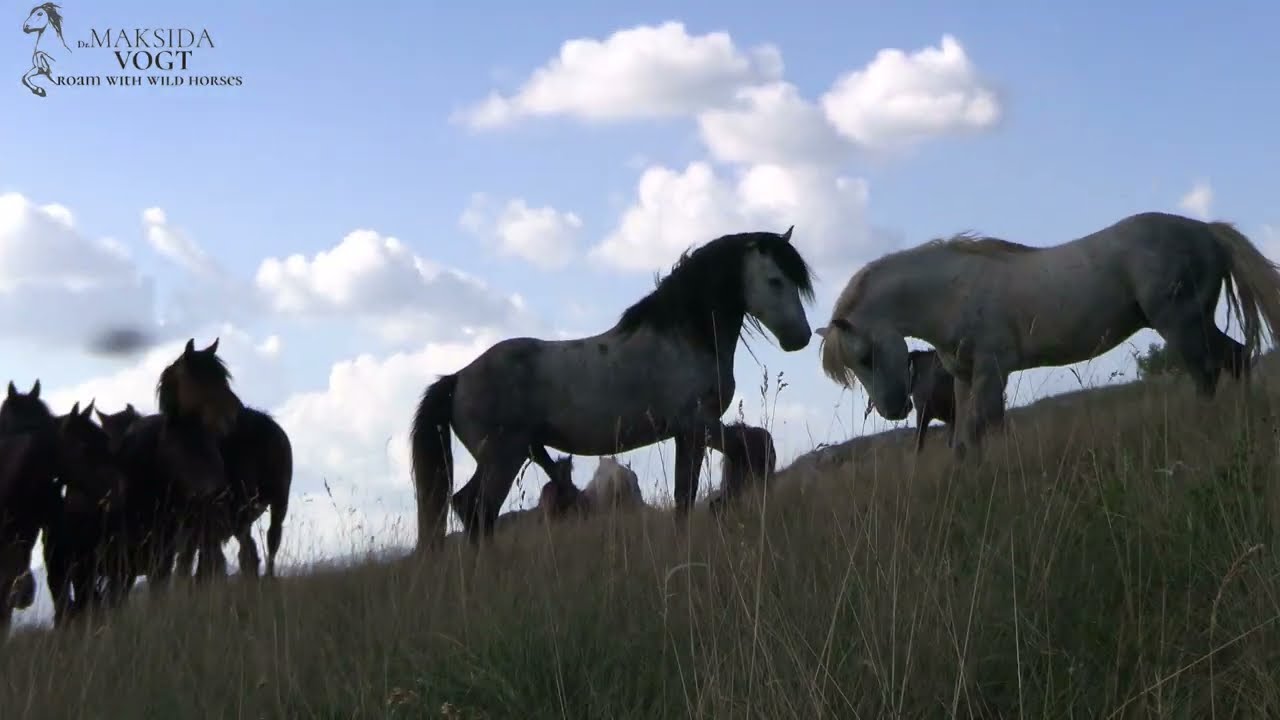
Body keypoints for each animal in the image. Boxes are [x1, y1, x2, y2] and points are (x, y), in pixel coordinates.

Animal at [410, 227, 816, 547]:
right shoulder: (696, 424)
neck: (682, 338)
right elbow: (745, 451)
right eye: (775, 280)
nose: (801, 337)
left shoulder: (689, 433)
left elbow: (693, 487)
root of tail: (457, 378)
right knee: (477, 509)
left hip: (516, 453)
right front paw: (722, 504)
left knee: (468, 506)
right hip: (502, 457)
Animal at [816, 211, 1280, 457]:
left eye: (865, 356)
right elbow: (965, 440)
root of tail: (1204, 229)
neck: (951, 293)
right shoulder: (966, 378)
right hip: (1196, 323)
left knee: (1208, 372)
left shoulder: (992, 371)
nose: (893, 409)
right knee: (1236, 358)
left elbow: (984, 427)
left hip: (1181, 324)